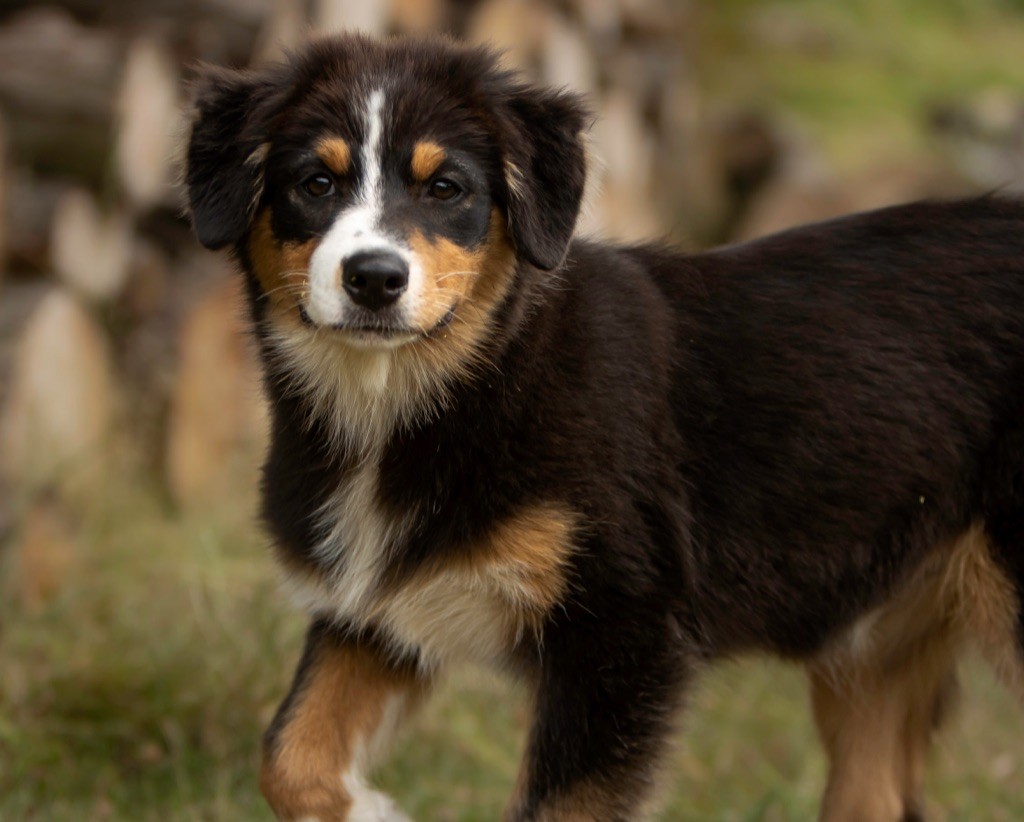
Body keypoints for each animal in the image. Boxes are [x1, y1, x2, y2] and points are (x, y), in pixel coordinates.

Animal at [188, 32, 1024, 822]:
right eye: (315, 183)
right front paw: (376, 810)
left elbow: (558, 806)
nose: (373, 279)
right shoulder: (372, 610)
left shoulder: (621, 631)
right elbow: (289, 751)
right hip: (879, 648)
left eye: (447, 187)